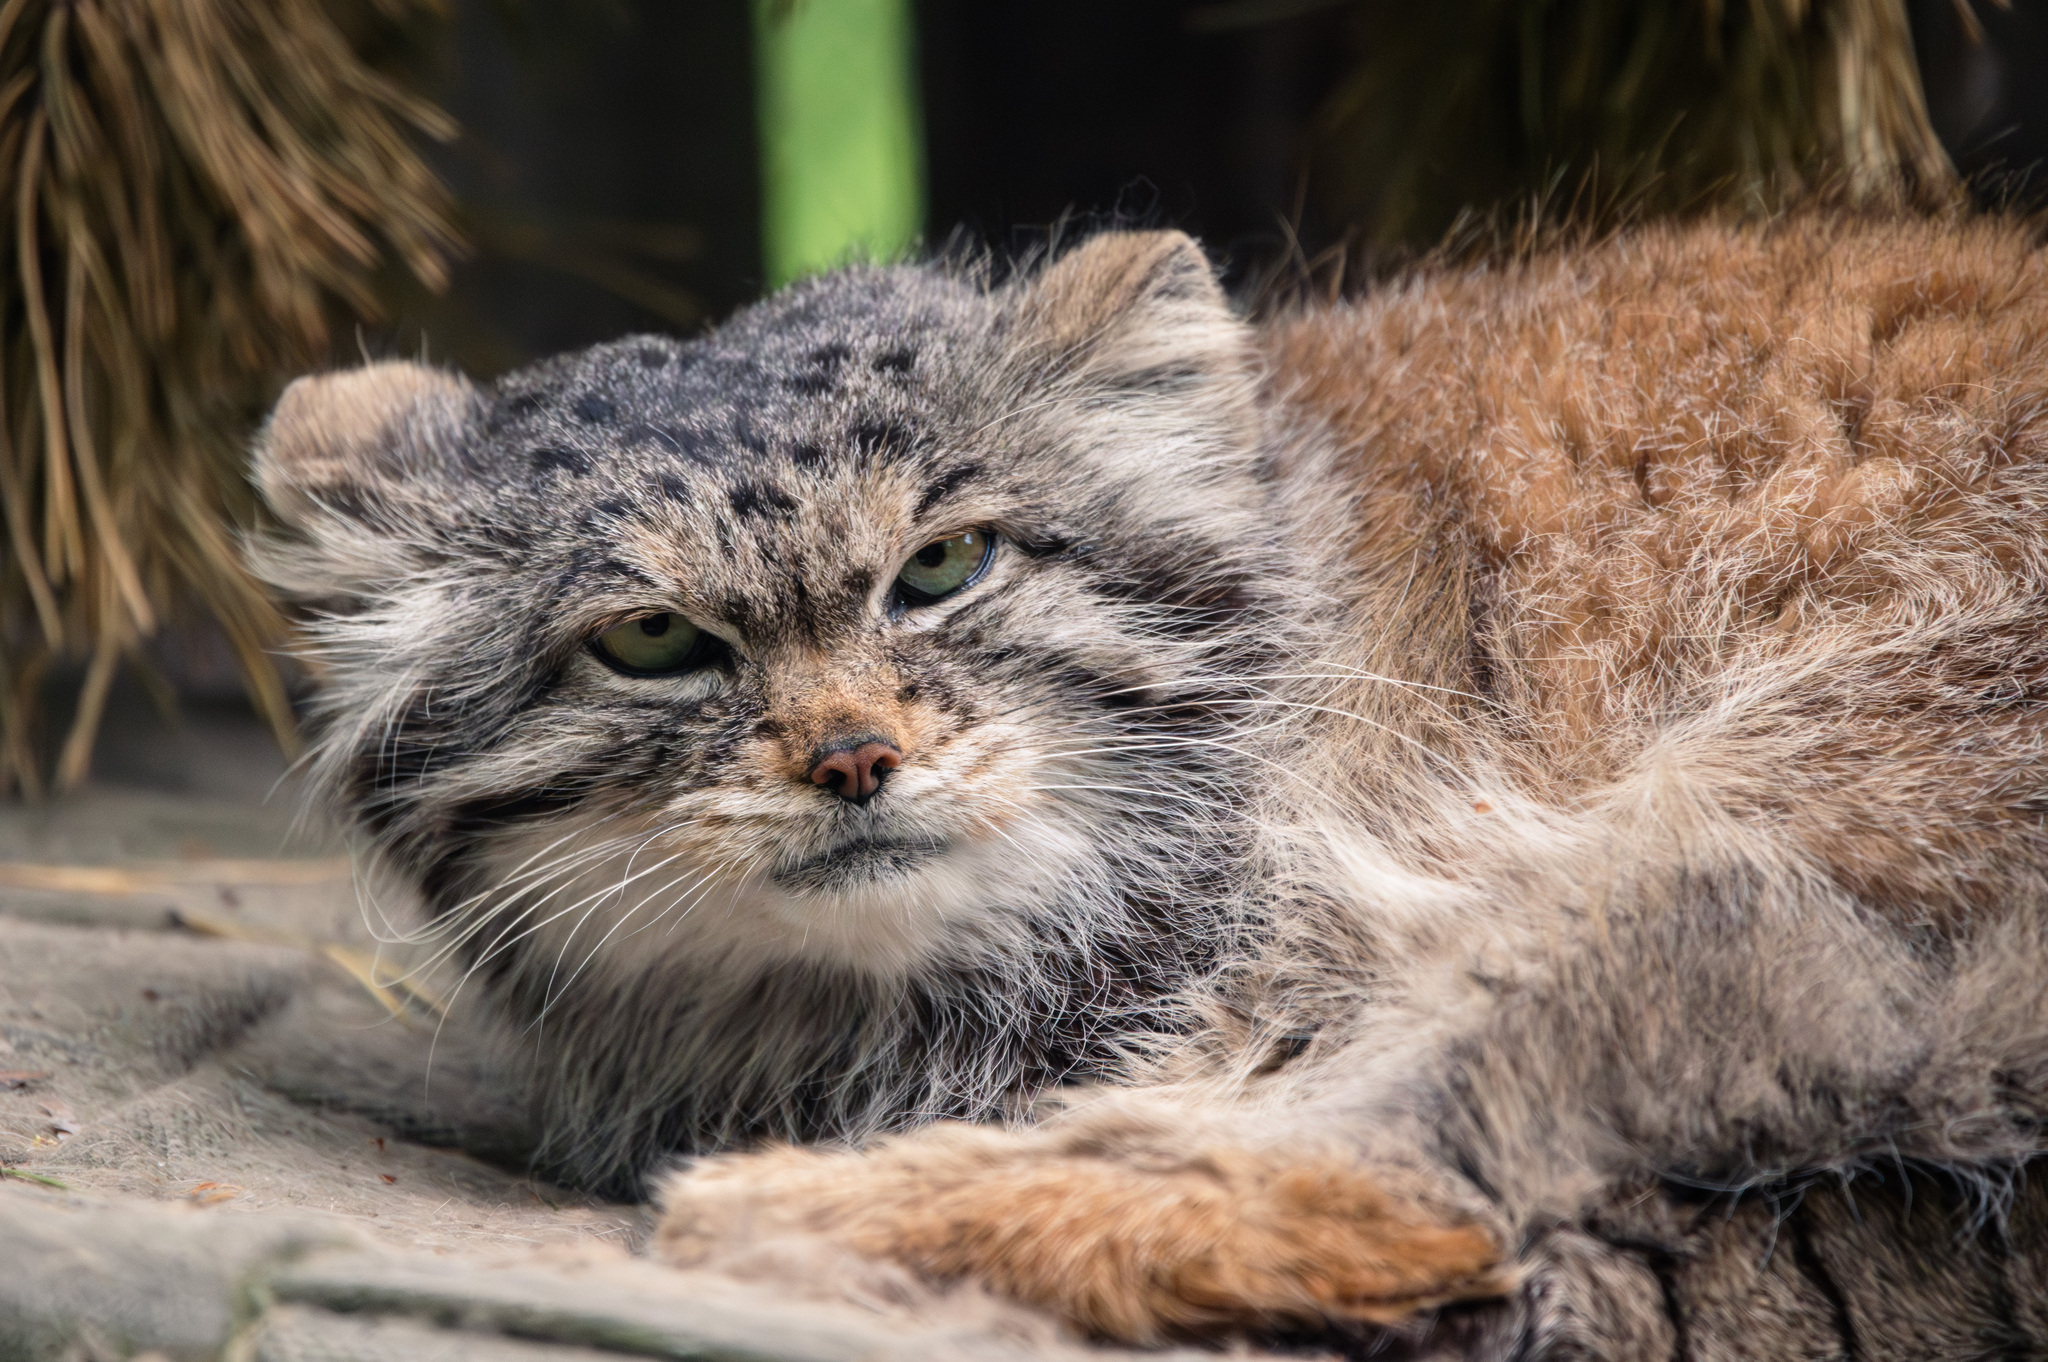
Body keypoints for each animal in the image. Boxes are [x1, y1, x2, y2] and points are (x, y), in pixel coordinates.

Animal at [251, 218, 2048, 1351]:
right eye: (650, 641)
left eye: (945, 564)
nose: (852, 755)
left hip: (1775, 793)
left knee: (1423, 1188)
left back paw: (798, 1204)